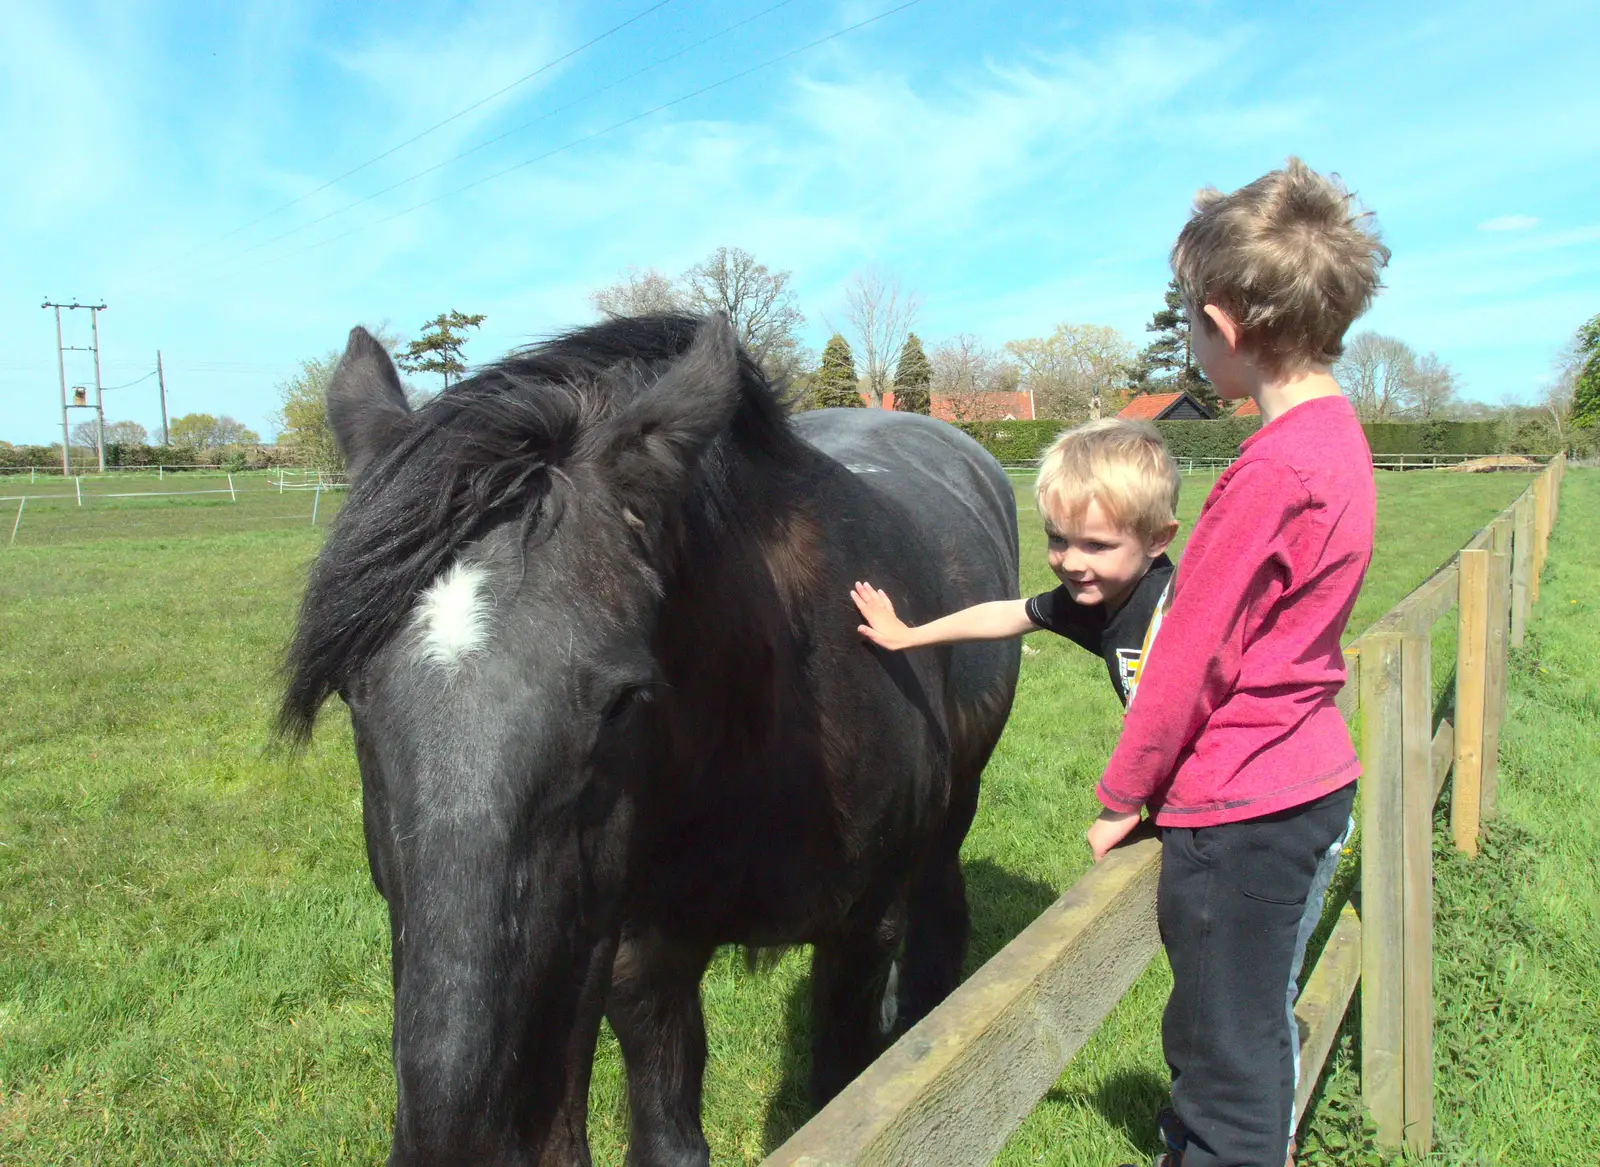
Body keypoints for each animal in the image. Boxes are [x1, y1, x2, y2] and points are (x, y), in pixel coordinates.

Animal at [281, 313, 1017, 1158]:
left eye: (623, 701)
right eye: (352, 695)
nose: (465, 1143)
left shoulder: (860, 935)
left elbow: (845, 1096)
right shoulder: (644, 956)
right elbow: (667, 1131)